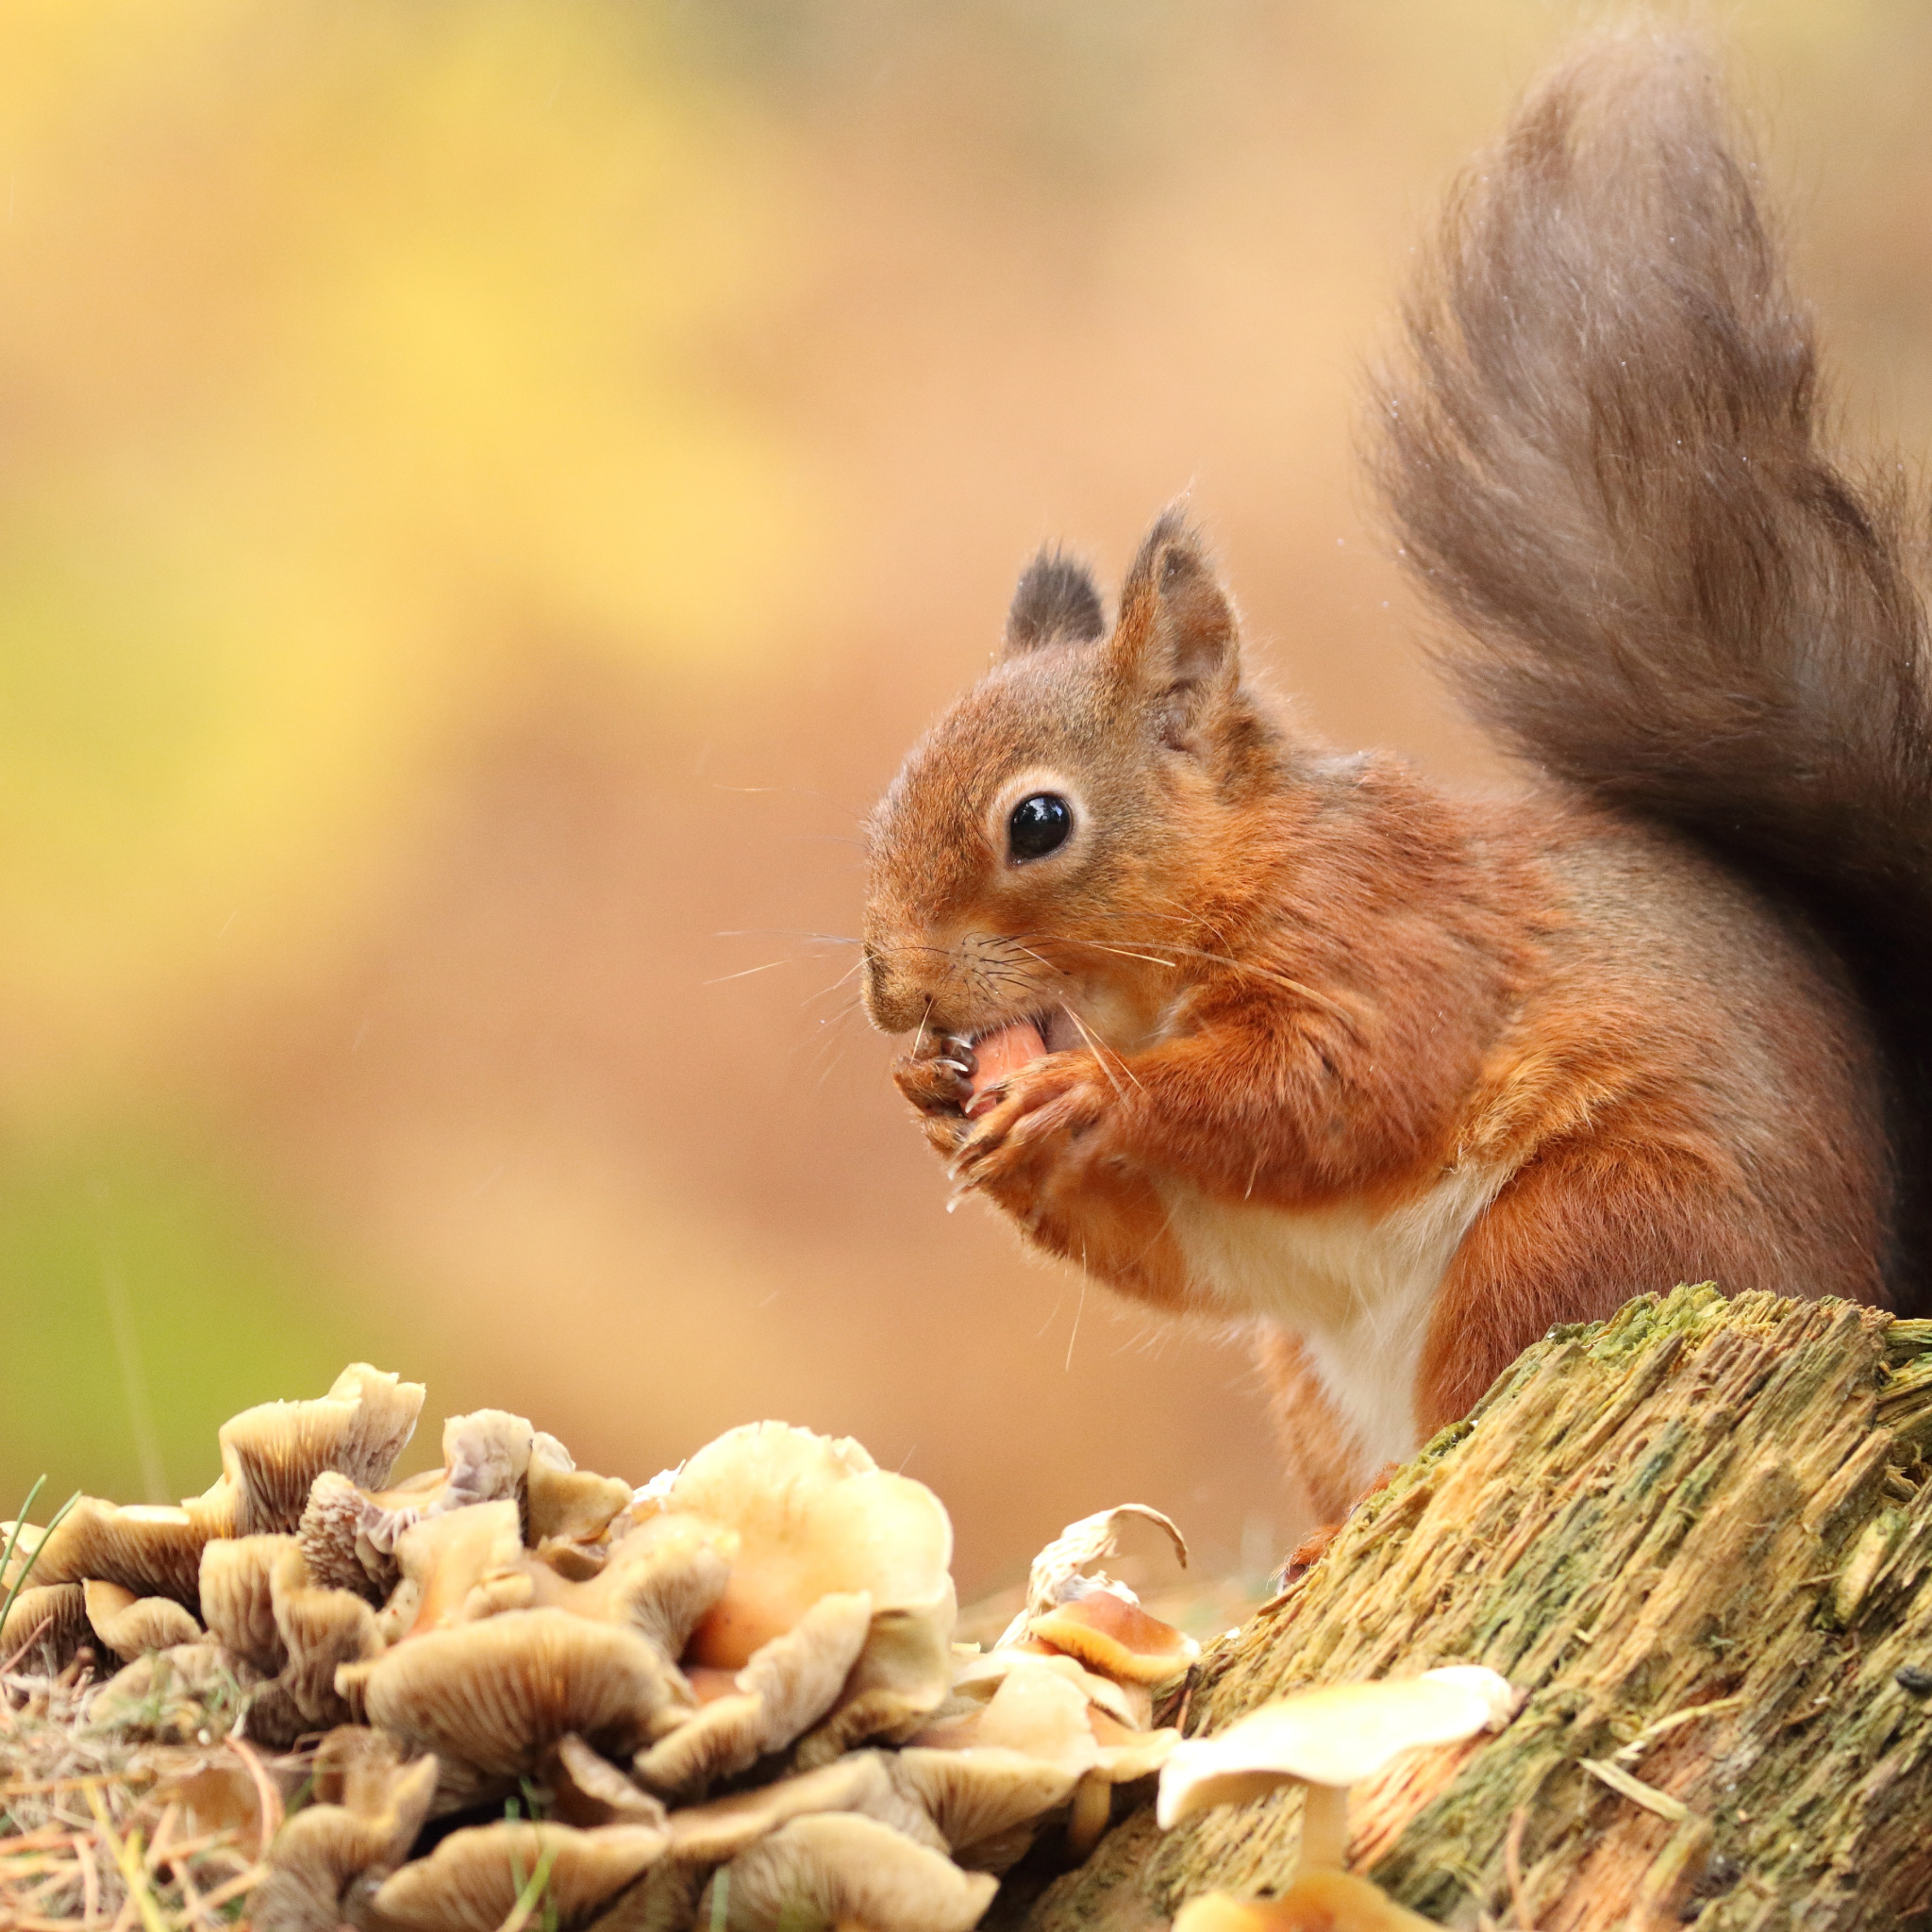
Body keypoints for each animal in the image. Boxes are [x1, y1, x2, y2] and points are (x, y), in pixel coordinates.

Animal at [865, 23, 1932, 1514]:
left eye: (1036, 821)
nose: (890, 988)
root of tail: (1875, 1291)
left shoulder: (1388, 929)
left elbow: (1343, 1083)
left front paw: (1091, 1092)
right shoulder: (1214, 1217)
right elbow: (1165, 1249)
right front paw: (942, 1104)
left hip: (1581, 1238)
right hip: (1315, 1377)